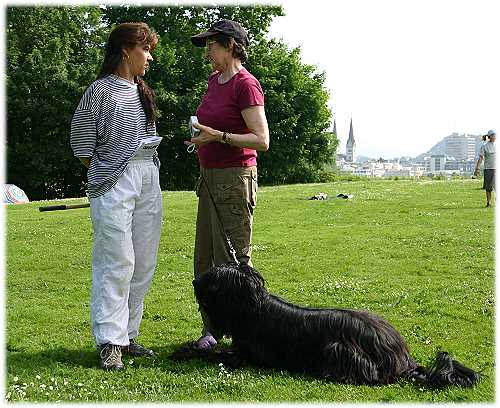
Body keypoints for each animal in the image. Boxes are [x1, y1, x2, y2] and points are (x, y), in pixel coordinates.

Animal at [176, 262, 480, 388]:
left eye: (213, 279)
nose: (194, 281)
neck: (252, 308)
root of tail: (403, 357)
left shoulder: (243, 355)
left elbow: (213, 353)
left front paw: (185, 351)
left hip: (337, 348)